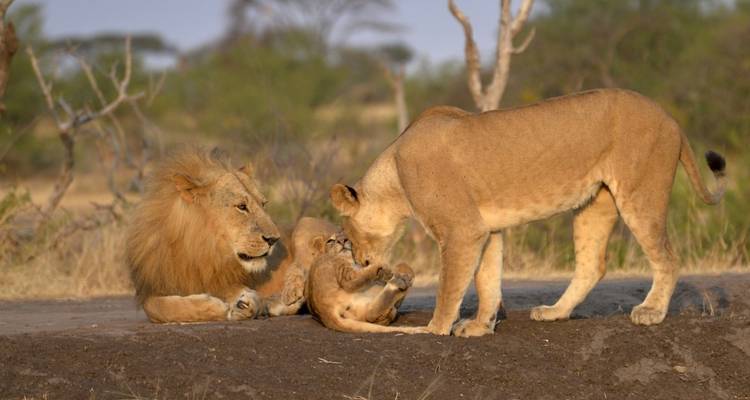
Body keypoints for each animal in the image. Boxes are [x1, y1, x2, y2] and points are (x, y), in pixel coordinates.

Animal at [126, 148, 284, 323]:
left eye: (263, 204)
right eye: (242, 206)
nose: (274, 239)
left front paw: (245, 302)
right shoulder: (153, 288)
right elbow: (158, 308)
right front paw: (217, 306)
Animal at [330, 88, 727, 337]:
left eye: (347, 233)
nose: (360, 259)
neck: (394, 169)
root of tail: (669, 117)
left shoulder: (461, 230)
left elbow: (450, 286)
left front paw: (435, 329)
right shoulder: (484, 229)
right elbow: (487, 280)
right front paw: (480, 326)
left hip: (640, 192)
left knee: (668, 257)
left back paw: (651, 312)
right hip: (593, 204)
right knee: (592, 264)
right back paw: (555, 311)